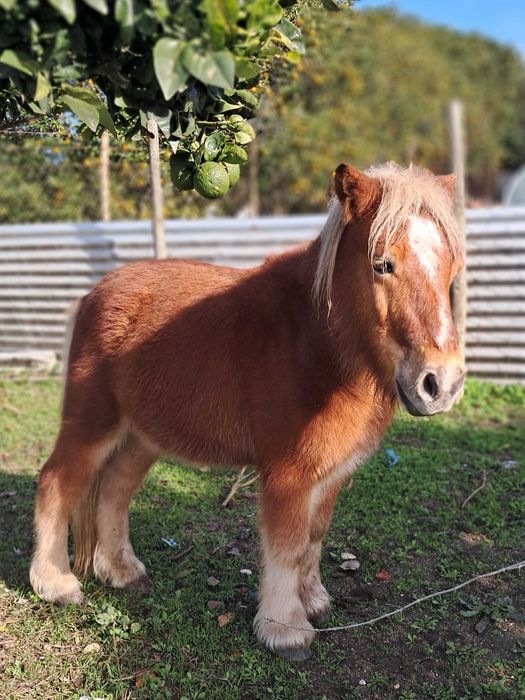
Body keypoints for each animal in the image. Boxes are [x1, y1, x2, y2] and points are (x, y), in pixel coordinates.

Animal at [30, 162, 466, 660]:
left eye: (452, 267)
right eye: (383, 264)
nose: (441, 384)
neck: (313, 341)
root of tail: (92, 295)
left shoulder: (331, 472)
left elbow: (313, 538)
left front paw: (313, 600)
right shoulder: (288, 474)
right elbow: (287, 546)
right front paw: (285, 628)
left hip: (141, 437)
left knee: (113, 492)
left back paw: (123, 572)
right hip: (92, 425)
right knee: (57, 482)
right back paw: (55, 583)